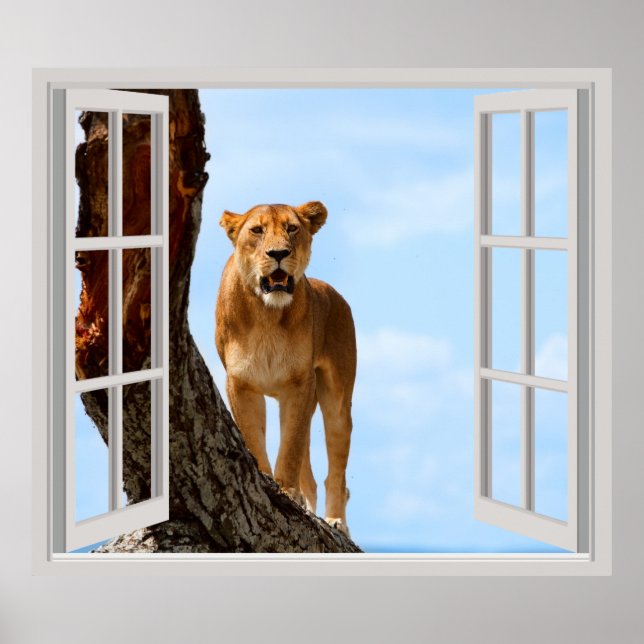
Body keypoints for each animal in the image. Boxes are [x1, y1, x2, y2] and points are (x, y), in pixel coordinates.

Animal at [215, 201, 356, 536]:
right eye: (257, 230)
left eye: (292, 228)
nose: (278, 253)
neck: (267, 314)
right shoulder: (241, 384)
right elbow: (254, 437)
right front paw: (267, 480)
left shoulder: (299, 384)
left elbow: (290, 447)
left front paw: (287, 491)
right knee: (312, 477)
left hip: (336, 400)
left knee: (336, 473)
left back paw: (335, 521)